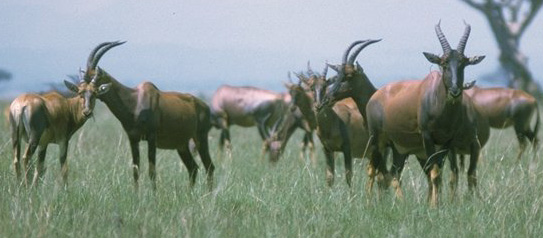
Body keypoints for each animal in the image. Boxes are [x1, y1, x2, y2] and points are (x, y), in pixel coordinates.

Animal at [78, 40, 215, 190]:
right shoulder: (133, 139)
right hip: (182, 144)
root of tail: (205, 106)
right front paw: (136, 194)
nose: (86, 111)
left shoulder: (151, 138)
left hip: (200, 137)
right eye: (82, 86)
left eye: (94, 83)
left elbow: (152, 171)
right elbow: (136, 170)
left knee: (209, 166)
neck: (135, 100)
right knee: (193, 168)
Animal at [366, 21, 488, 205]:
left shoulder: (447, 142)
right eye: (444, 63)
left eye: (464, 63)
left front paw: (435, 204)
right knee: (372, 169)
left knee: (394, 173)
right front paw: (434, 206)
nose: (455, 91)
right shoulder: (427, 137)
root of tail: (375, 96)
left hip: (399, 148)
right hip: (376, 141)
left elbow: (439, 174)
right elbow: (435, 173)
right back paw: (367, 202)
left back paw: (400, 202)